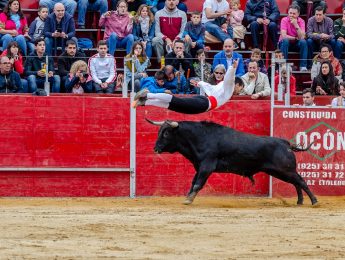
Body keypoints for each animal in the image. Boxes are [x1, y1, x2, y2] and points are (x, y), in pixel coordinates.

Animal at [146, 119, 318, 206]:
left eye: (166, 133)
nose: (155, 148)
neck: (200, 136)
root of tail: (285, 143)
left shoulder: (207, 166)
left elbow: (197, 183)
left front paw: (189, 200)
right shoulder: (199, 166)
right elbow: (193, 182)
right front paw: (188, 197)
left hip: (285, 170)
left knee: (301, 181)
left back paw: (314, 201)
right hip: (279, 171)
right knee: (296, 183)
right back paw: (300, 201)